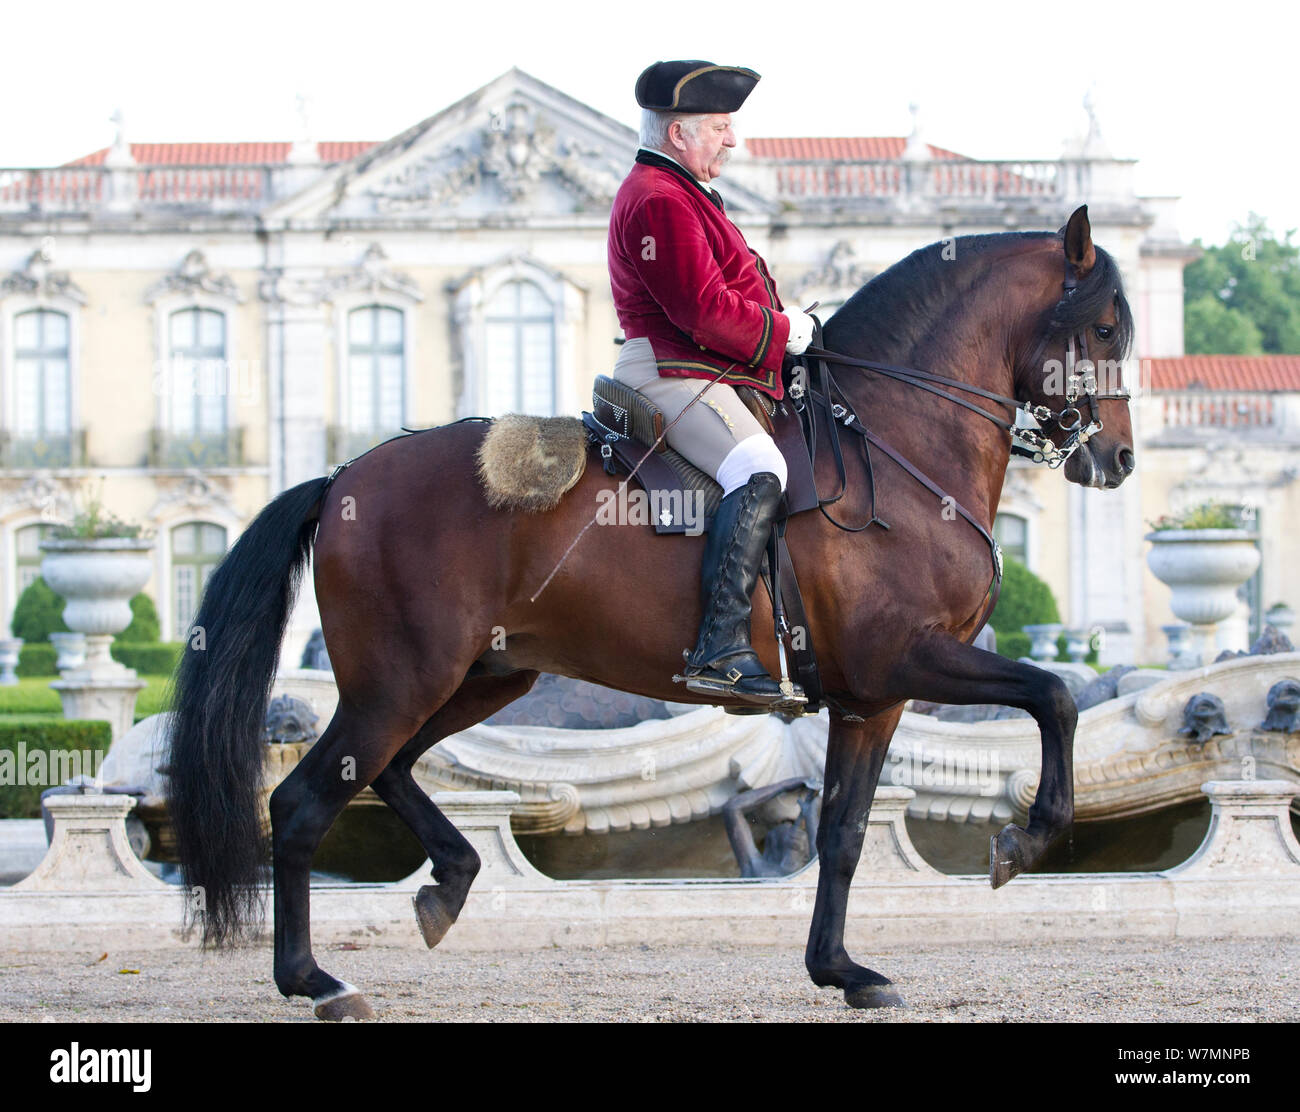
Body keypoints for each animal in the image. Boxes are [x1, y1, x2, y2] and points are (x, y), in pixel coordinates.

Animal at [166, 204, 1136, 1019]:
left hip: (479, 679)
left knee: (391, 770)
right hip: (400, 683)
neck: (892, 442)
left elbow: (846, 833)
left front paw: (841, 970)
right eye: (1105, 328)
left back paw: (450, 877)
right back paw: (317, 980)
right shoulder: (905, 658)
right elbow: (1052, 695)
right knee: (301, 803)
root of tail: (343, 478)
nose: (1119, 459)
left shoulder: (872, 699)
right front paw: (1027, 839)